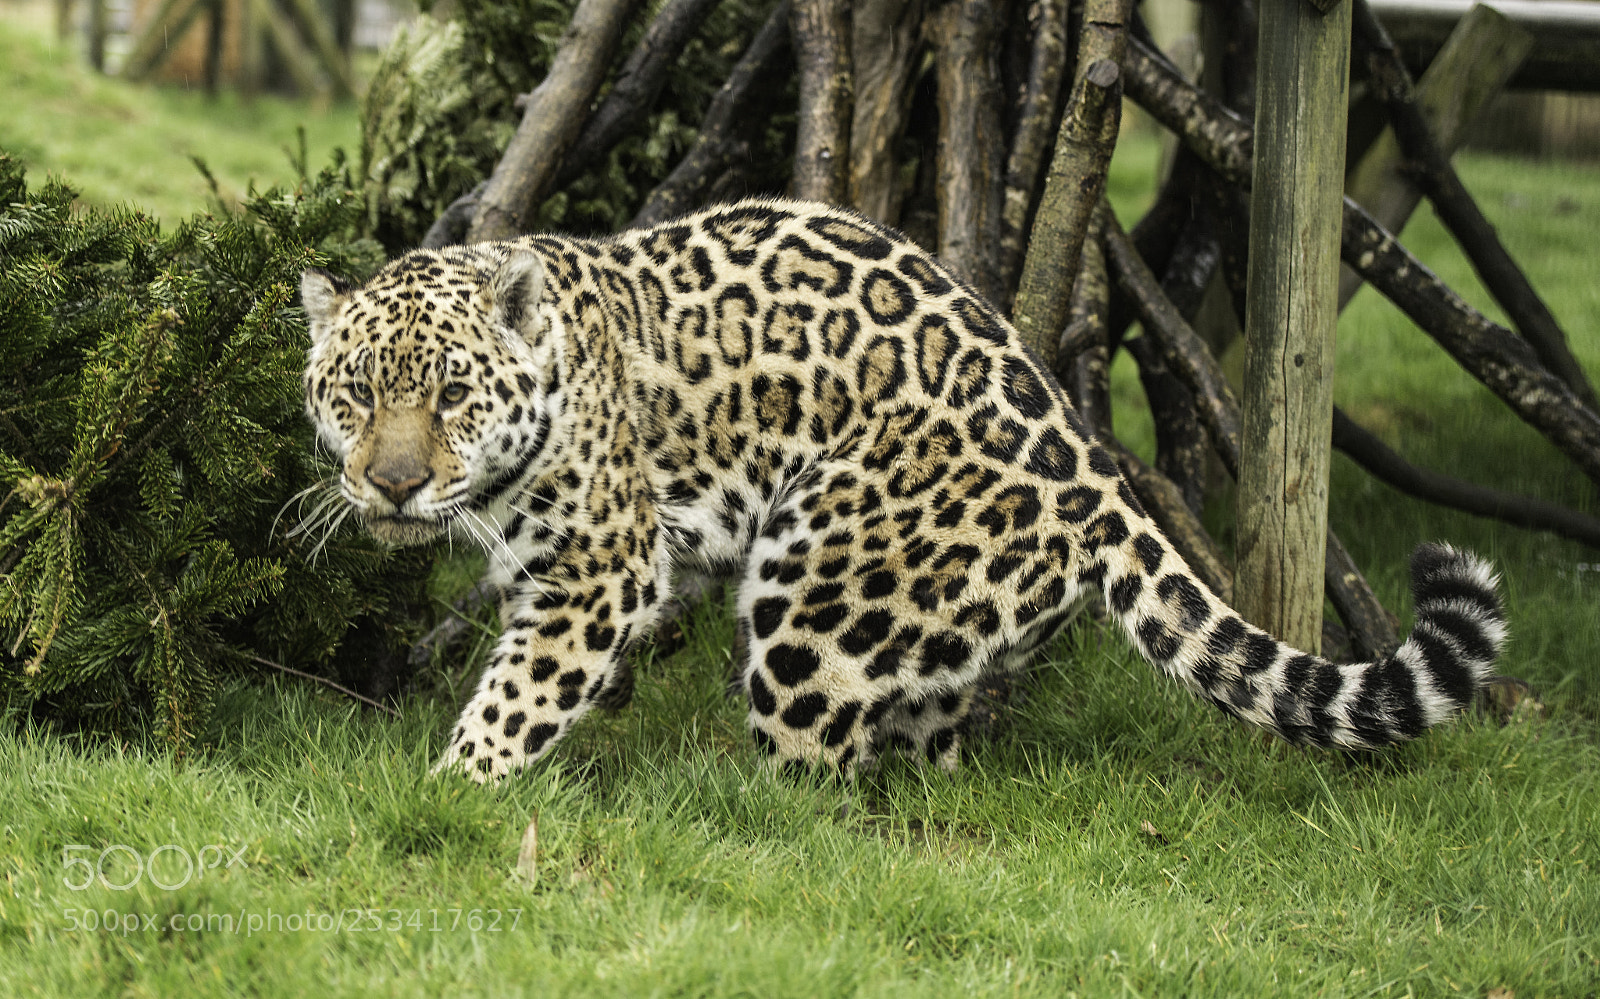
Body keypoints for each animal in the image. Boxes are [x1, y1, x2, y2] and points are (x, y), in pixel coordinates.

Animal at [299, 198, 1508, 782]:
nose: (394, 485)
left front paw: (456, 789)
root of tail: (1097, 477)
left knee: (816, 782)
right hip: (923, 623)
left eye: (452, 396)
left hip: (810, 599)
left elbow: (517, 694)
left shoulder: (600, 571)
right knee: (927, 749)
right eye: (355, 396)